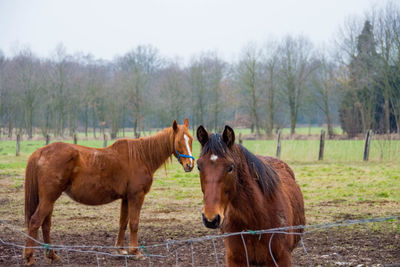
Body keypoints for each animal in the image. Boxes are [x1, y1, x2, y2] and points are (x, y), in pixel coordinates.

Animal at [23, 119, 195, 266]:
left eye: (191, 140)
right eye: (179, 141)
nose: (190, 165)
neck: (141, 156)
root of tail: (41, 151)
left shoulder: (126, 198)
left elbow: (123, 222)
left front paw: (121, 249)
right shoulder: (136, 196)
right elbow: (134, 223)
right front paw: (135, 252)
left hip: (49, 199)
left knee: (46, 225)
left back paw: (52, 255)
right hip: (49, 198)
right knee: (35, 221)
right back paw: (29, 257)